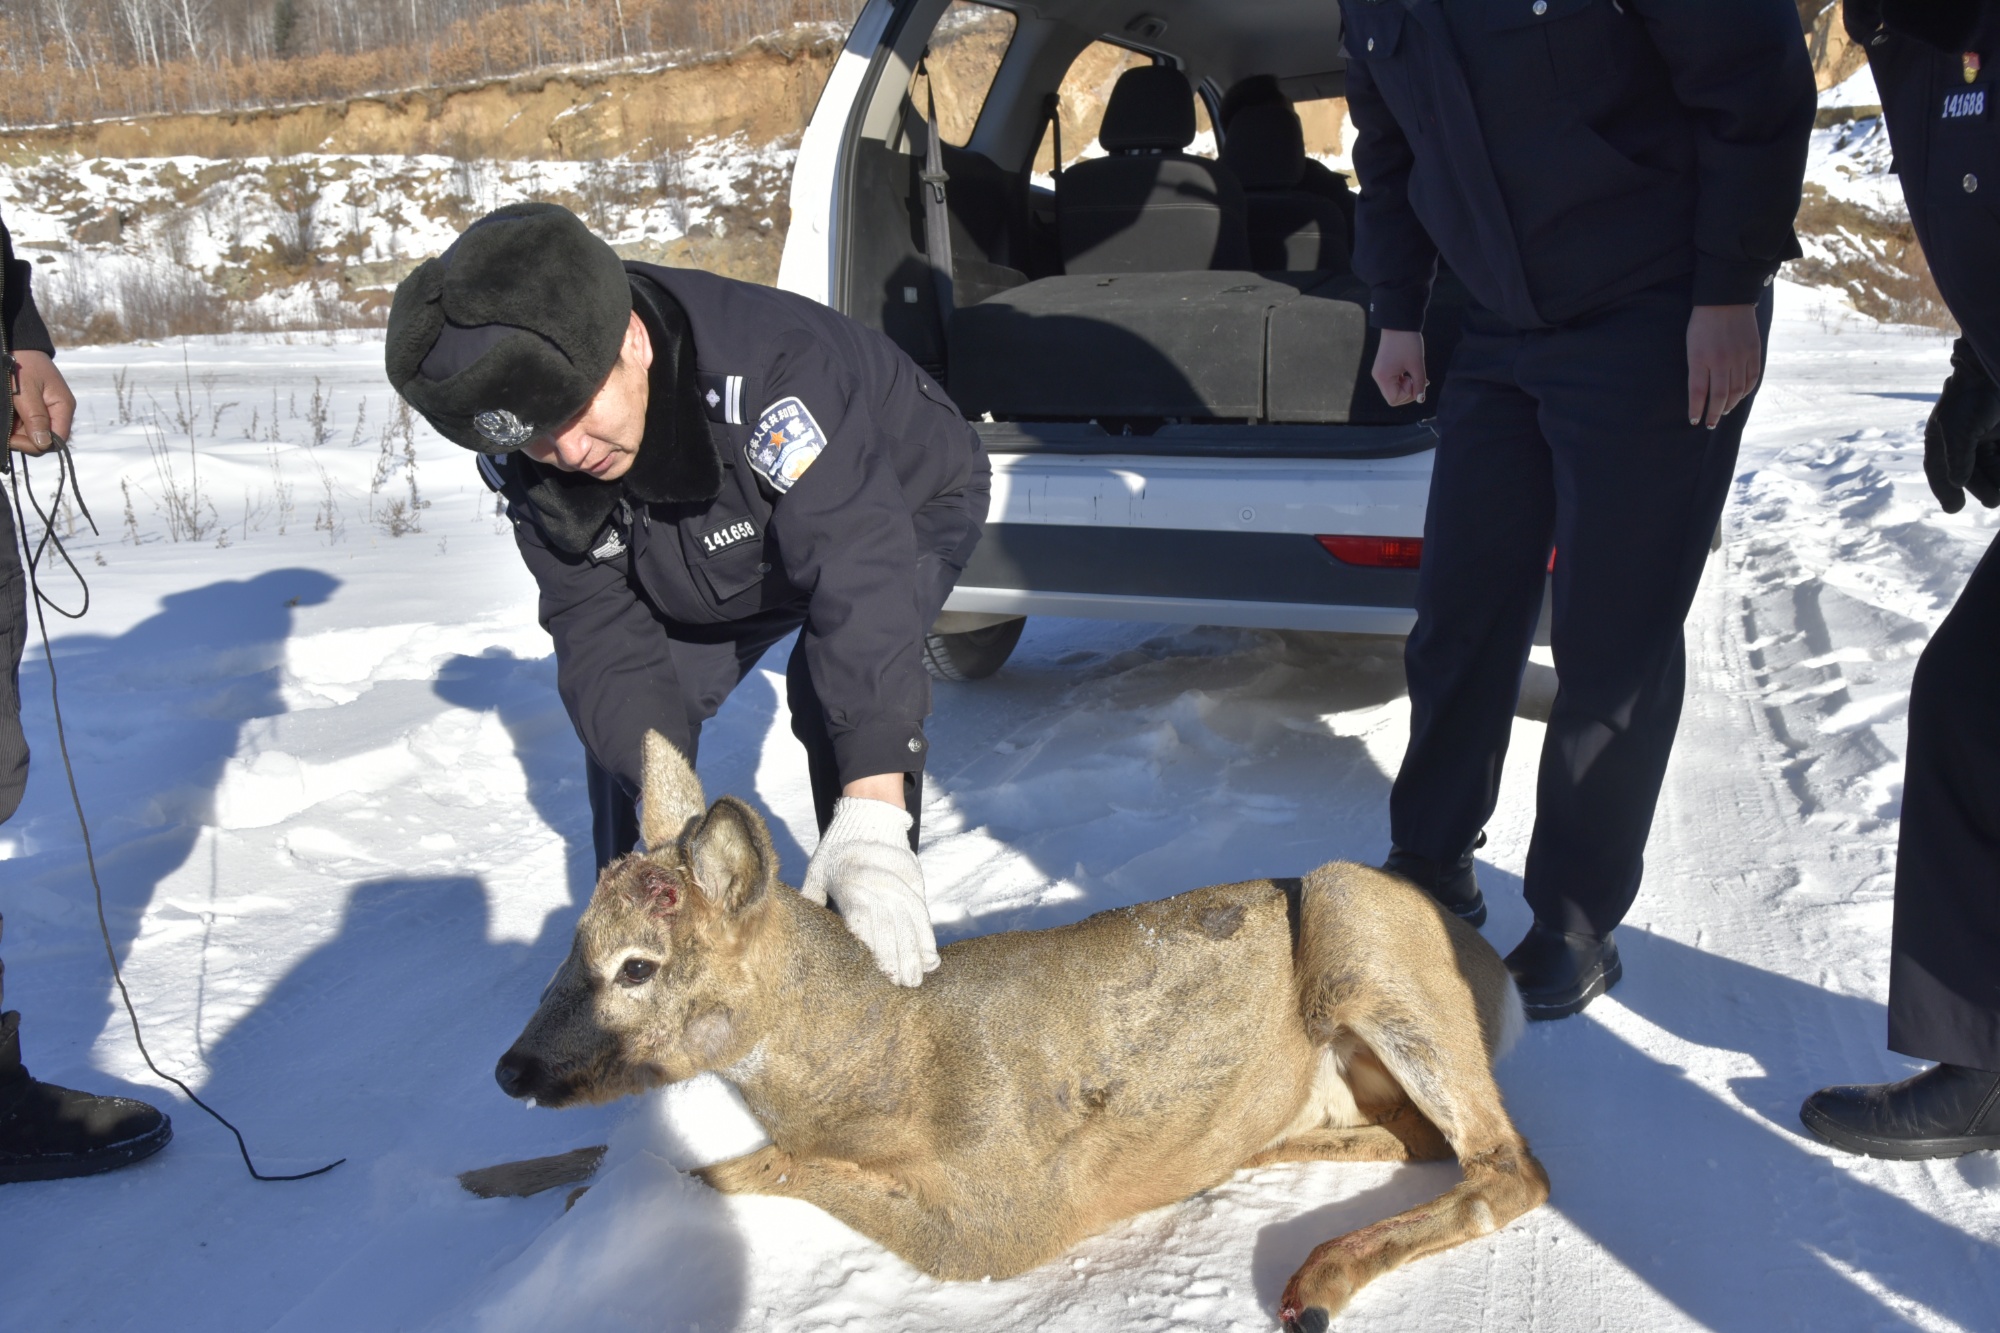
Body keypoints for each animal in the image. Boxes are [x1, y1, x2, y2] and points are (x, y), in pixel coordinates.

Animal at [488, 732, 1544, 1320]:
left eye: (636, 966)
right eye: (573, 939)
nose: (511, 1067)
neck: (882, 1061)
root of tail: (1496, 976)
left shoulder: (1008, 1218)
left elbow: (768, 1169)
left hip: (1356, 918)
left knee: (1511, 1165)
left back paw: (1316, 1279)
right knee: (1425, 1140)